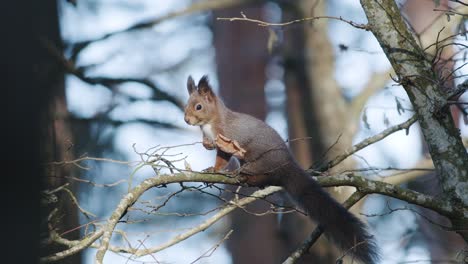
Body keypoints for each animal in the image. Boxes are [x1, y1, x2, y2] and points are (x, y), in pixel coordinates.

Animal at [184, 75, 380, 262]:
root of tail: (287, 164)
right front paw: (210, 168)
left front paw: (217, 170)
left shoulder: (226, 137)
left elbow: (223, 158)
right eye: (187, 104)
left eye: (199, 106)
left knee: (261, 170)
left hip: (260, 156)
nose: (186, 120)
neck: (209, 124)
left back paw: (244, 174)